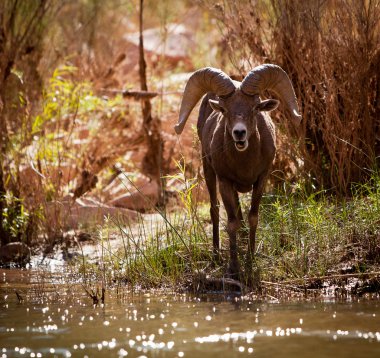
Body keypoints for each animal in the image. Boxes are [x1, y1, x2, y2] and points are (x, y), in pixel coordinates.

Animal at [174, 64, 302, 276]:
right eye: (224, 109)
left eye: (256, 107)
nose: (239, 133)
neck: (245, 163)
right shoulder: (225, 181)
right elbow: (231, 222)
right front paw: (233, 268)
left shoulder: (261, 179)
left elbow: (253, 217)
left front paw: (250, 260)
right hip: (209, 171)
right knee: (215, 210)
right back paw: (216, 255)